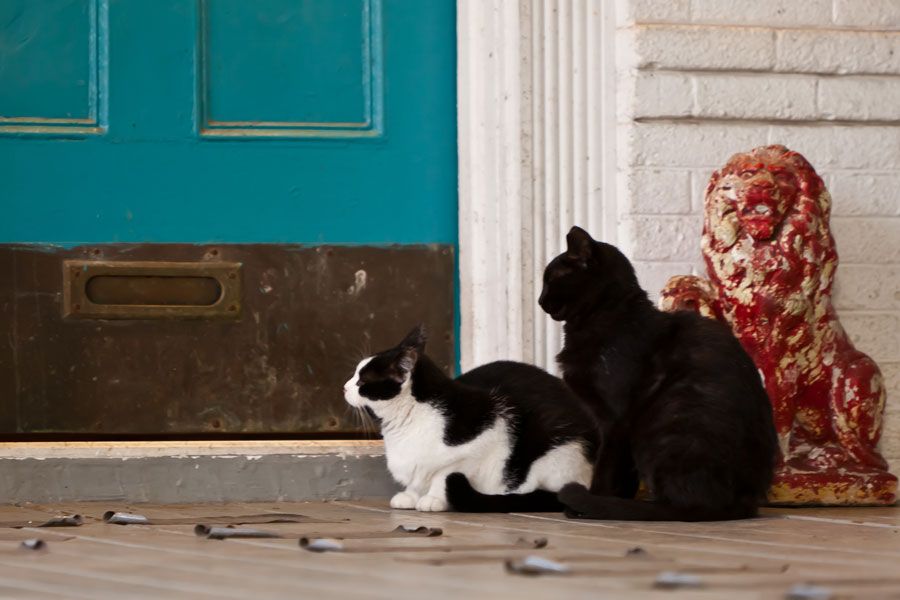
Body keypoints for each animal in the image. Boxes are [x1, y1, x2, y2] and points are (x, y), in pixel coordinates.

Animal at [342, 326, 596, 512]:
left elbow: (442, 475)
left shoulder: (486, 437)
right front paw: (410, 496)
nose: (344, 387)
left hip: (556, 447)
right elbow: (418, 477)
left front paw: (433, 499)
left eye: (362, 381)